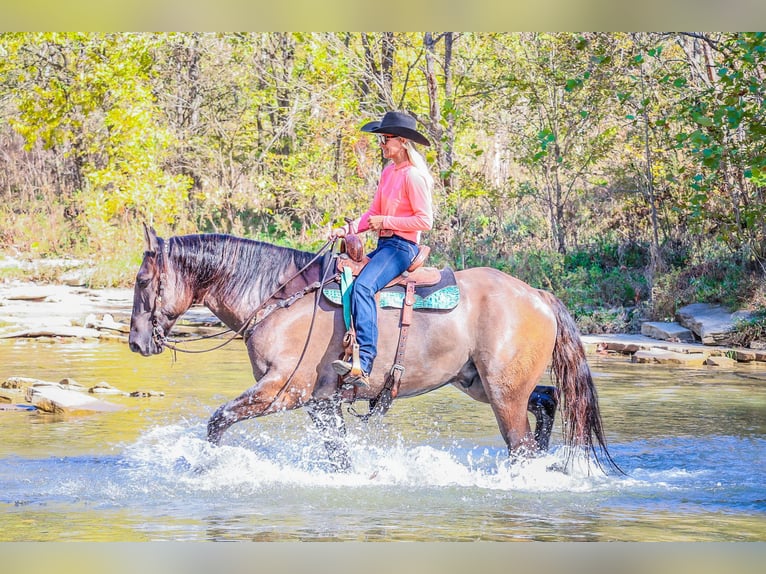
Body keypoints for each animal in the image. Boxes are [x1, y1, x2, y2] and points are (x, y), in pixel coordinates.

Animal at [128, 226, 620, 473]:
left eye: (141, 280)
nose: (136, 342)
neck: (278, 297)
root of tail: (537, 294)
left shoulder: (282, 392)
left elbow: (217, 421)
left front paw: (205, 469)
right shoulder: (321, 402)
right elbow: (339, 456)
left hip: (503, 393)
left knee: (520, 442)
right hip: (481, 383)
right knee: (548, 400)